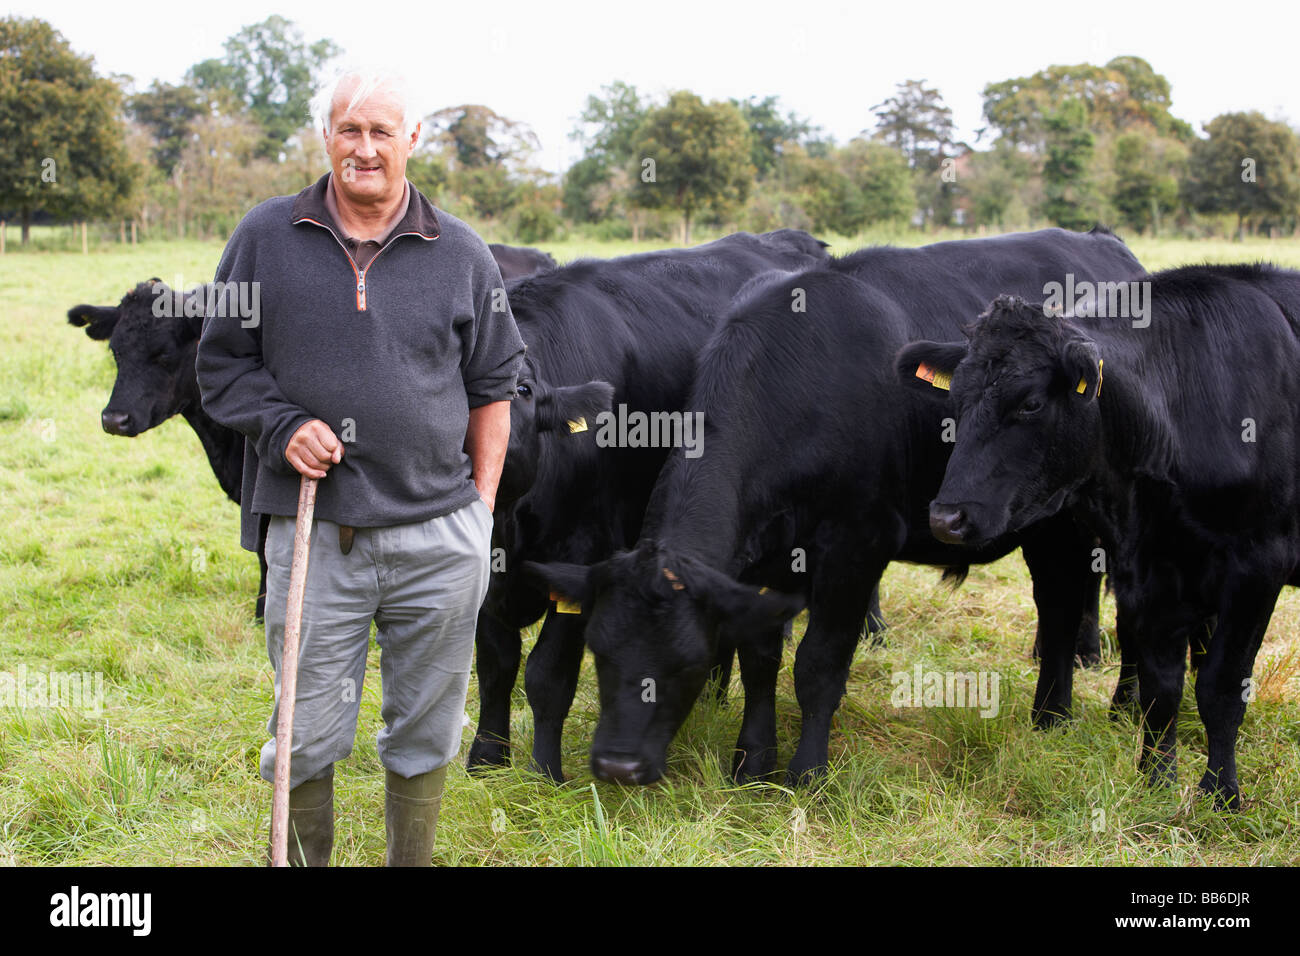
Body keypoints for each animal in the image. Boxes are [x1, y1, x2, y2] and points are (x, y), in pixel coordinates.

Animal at [470, 227, 842, 780]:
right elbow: (494, 665)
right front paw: (486, 762)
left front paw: (544, 774)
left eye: (521, 389)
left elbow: (545, 675)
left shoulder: (584, 553)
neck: (506, 530)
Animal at [522, 227, 1144, 790]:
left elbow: (818, 663)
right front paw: (752, 763)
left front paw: (807, 771)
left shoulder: (858, 544)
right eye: (598, 653)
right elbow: (760, 657)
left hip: (1063, 519)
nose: (615, 766)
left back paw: (1059, 715)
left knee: (1068, 603)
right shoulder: (764, 561)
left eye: (688, 662)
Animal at [899, 265, 1300, 811]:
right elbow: (1161, 688)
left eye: (1031, 403)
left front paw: (1221, 794)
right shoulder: (1151, 569)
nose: (947, 518)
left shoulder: (1258, 566)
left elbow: (1220, 686)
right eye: (956, 401)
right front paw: (1155, 780)